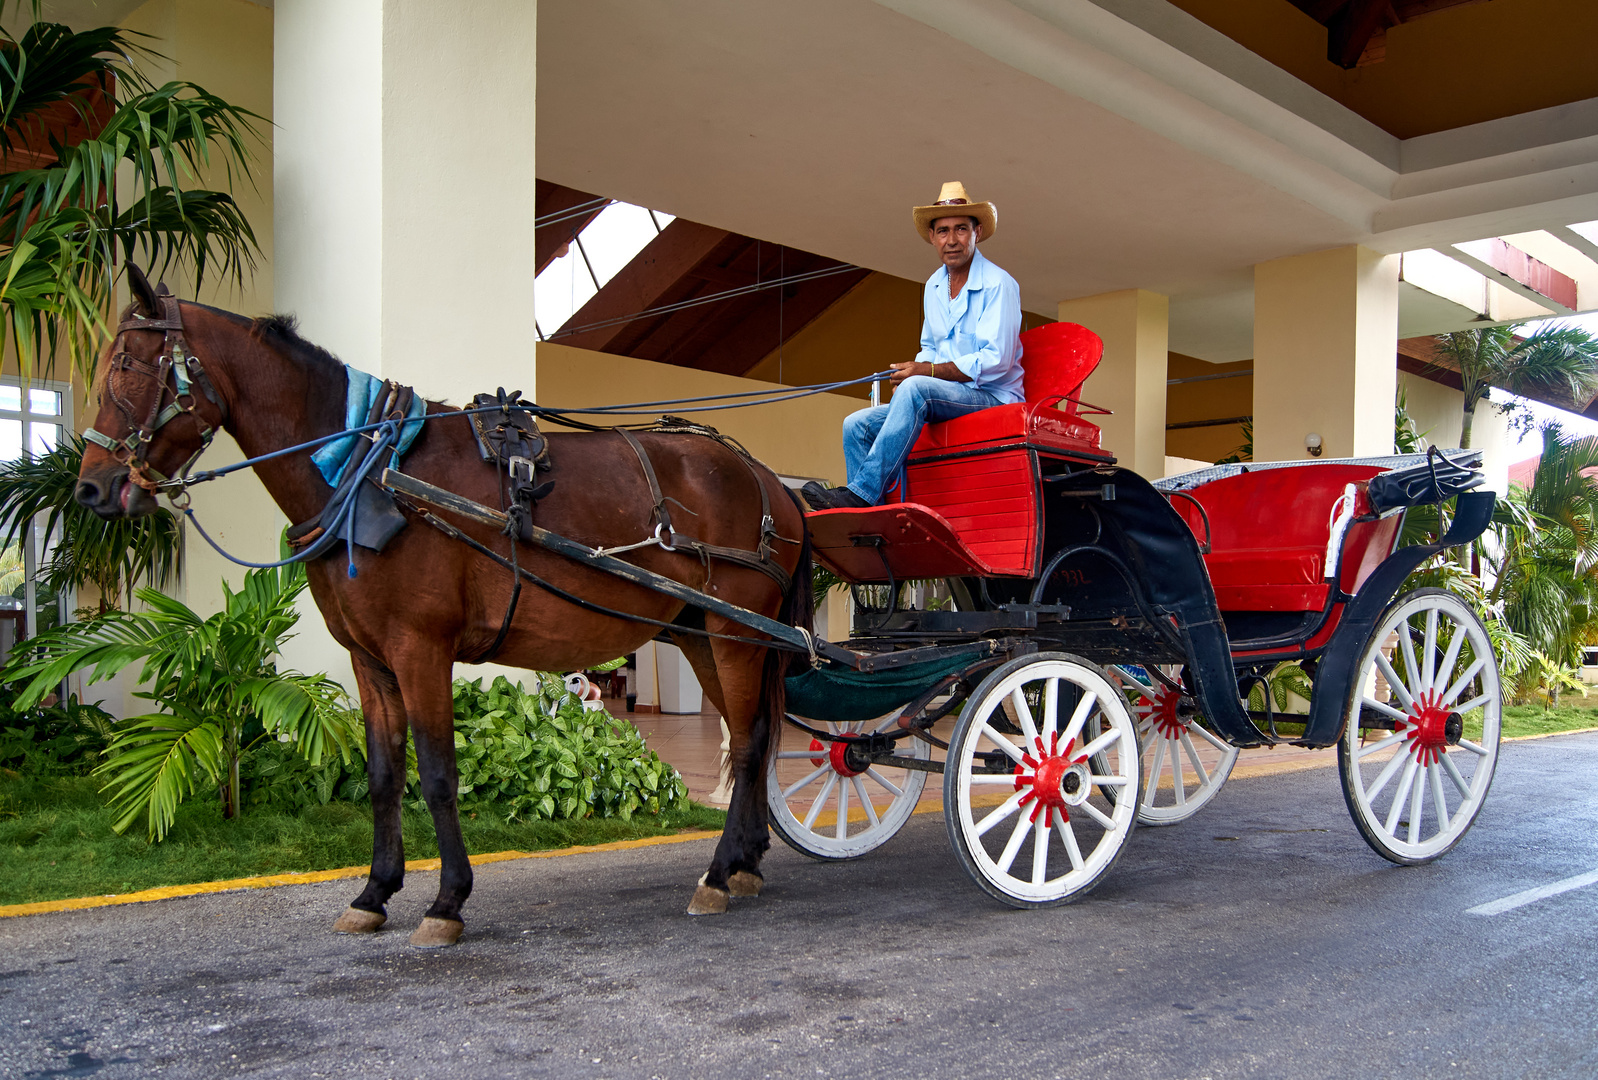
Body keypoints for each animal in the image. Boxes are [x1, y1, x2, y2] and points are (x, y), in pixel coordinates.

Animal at [75, 270, 811, 945]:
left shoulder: (420, 647)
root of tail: (767, 479)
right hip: (702, 633)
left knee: (749, 744)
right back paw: (745, 861)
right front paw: (374, 892)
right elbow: (382, 774)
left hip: (734, 631)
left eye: (129, 366)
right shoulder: (369, 657)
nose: (90, 487)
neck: (371, 470)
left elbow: (435, 773)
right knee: (750, 735)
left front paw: (446, 900)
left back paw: (717, 872)